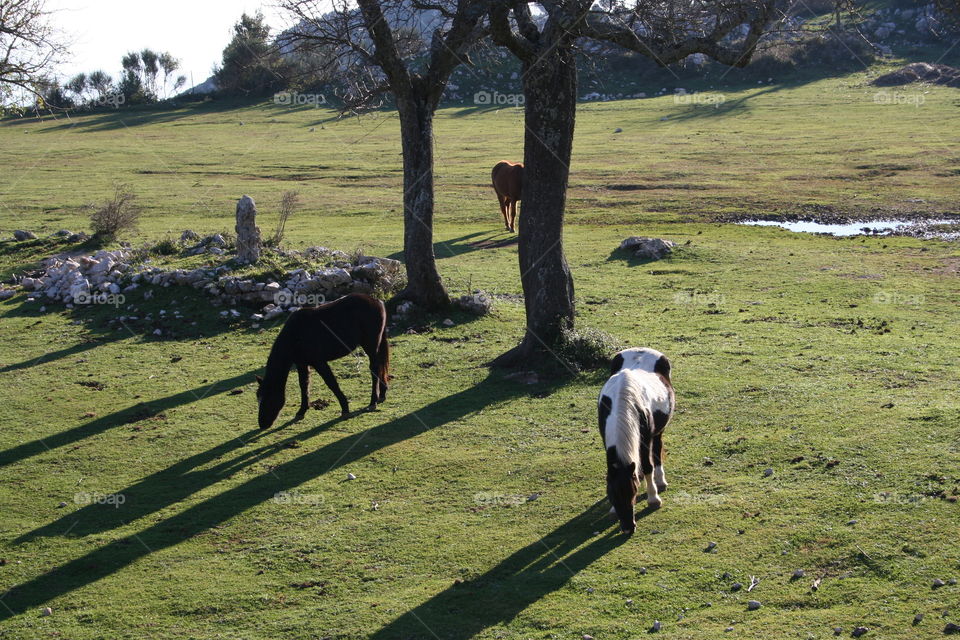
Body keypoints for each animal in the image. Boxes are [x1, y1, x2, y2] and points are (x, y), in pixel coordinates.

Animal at [255, 293, 390, 430]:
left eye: (268, 398)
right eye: (258, 398)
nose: (262, 424)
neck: (295, 334)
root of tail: (377, 301)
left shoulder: (319, 362)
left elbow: (332, 384)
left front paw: (345, 409)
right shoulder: (302, 364)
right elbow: (303, 385)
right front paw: (301, 411)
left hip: (370, 345)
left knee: (375, 368)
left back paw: (373, 401)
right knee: (381, 366)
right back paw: (382, 394)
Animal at [597, 347, 675, 535]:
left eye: (632, 493)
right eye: (612, 496)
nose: (627, 529)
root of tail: (641, 350)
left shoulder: (645, 438)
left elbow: (648, 466)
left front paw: (653, 498)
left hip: (657, 432)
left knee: (656, 452)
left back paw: (660, 481)